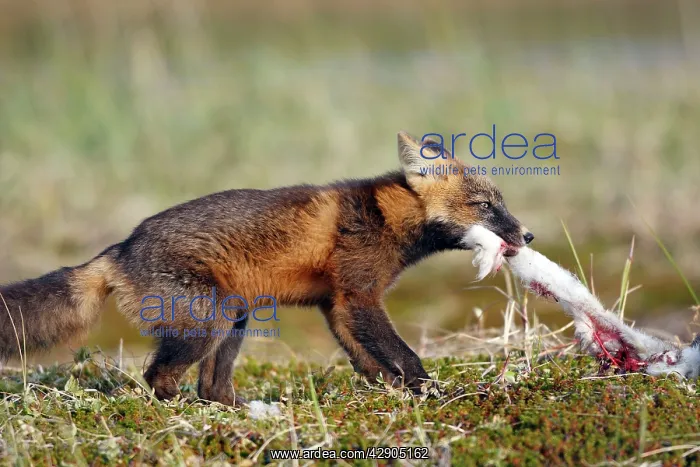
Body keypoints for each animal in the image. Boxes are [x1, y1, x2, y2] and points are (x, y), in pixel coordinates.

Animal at [0, 131, 533, 406]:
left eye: (501, 204)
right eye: (486, 206)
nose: (528, 236)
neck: (382, 218)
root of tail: (120, 247)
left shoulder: (338, 305)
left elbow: (368, 361)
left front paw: (391, 393)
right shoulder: (360, 297)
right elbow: (405, 356)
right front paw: (432, 392)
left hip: (233, 320)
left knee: (211, 385)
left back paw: (241, 412)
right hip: (208, 320)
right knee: (158, 375)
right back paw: (183, 409)